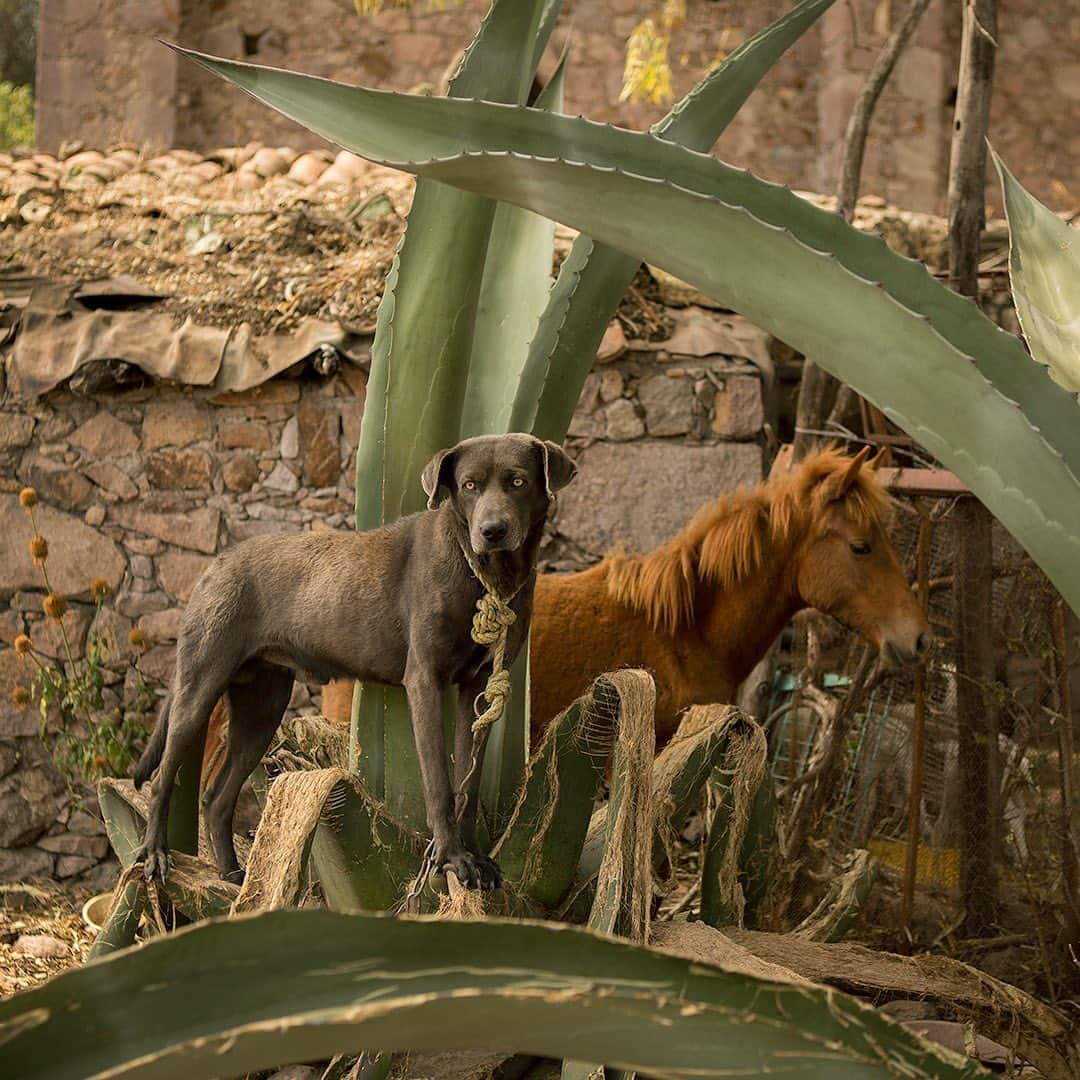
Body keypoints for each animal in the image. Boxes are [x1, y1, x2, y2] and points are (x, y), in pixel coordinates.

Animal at [132, 434, 574, 889]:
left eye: (518, 481)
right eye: (469, 486)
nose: (492, 531)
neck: (481, 572)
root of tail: (217, 563)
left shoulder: (481, 688)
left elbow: (468, 786)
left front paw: (476, 858)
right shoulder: (424, 681)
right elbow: (439, 781)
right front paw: (452, 859)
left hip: (262, 708)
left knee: (216, 798)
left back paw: (235, 877)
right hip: (199, 688)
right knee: (162, 778)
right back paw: (155, 855)